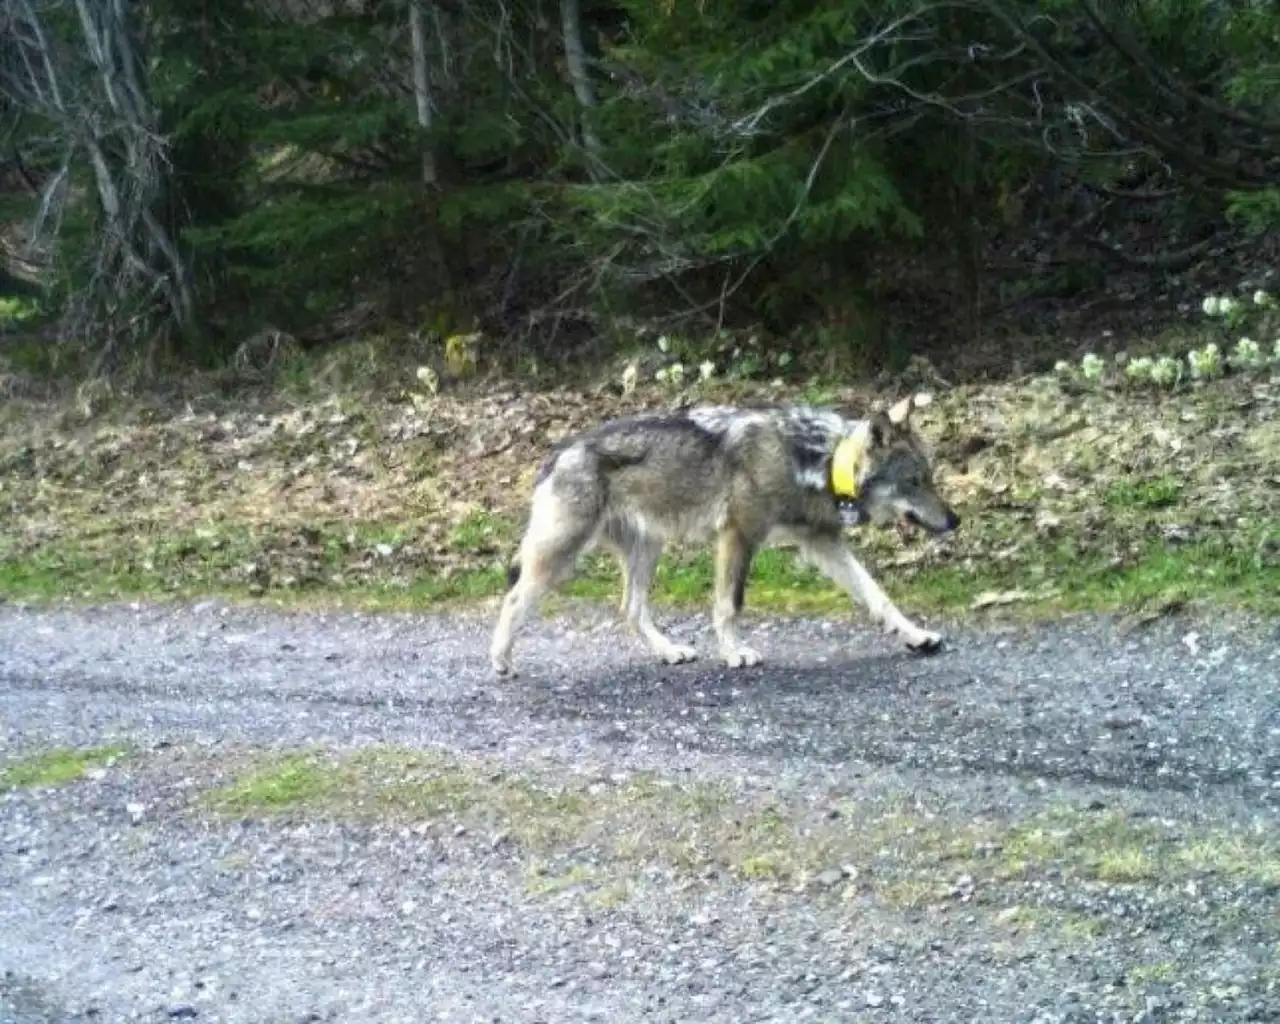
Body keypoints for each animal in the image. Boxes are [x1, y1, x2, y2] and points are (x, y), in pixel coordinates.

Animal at [488, 389, 962, 670]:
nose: (955, 521)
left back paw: (670, 652)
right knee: (513, 598)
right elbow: (729, 605)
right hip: (561, 556)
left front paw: (917, 637)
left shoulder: (823, 543)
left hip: (647, 551)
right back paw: (500, 661)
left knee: (630, 610)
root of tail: (559, 451)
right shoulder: (738, 536)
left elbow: (878, 595)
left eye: (930, 478)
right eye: (914, 481)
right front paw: (735, 654)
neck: (815, 460)